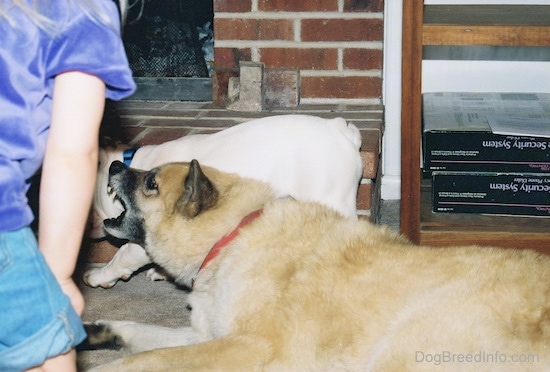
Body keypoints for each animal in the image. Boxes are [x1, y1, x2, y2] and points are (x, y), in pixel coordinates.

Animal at [85, 161, 550, 370]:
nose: (114, 164)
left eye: (150, 182)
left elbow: (144, 361)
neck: (232, 233)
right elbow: (140, 336)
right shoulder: (204, 335)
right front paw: (93, 332)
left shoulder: (246, 346)